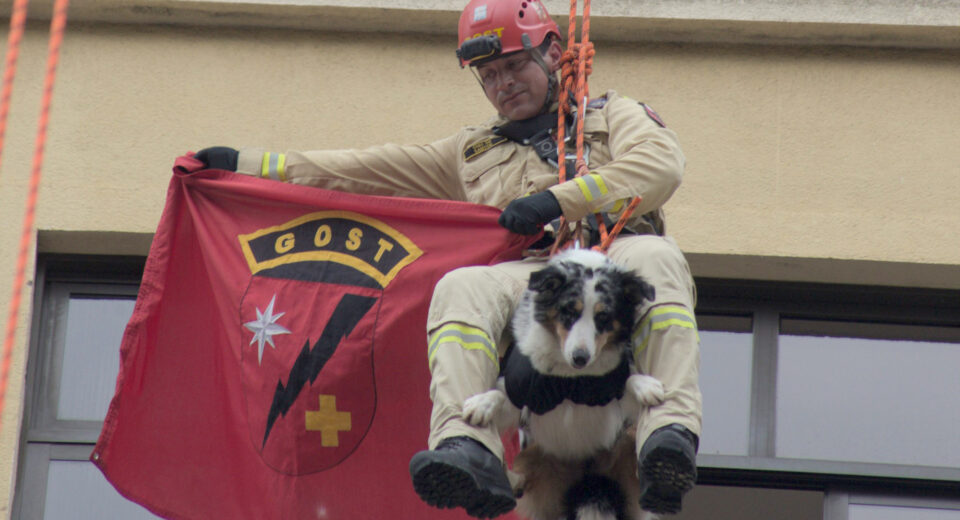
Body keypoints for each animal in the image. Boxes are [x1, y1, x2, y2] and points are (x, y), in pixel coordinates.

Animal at [464, 249, 668, 520]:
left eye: (603, 317)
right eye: (569, 312)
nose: (580, 358)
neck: (571, 382)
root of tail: (588, 480)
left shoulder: (610, 400)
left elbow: (626, 378)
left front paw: (645, 386)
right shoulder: (526, 396)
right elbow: (501, 395)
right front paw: (482, 404)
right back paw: (510, 482)